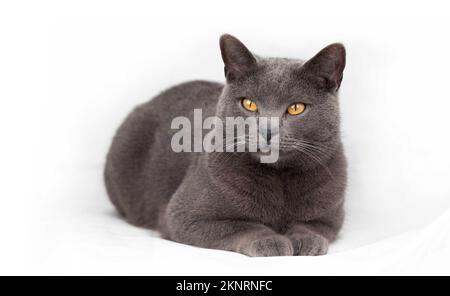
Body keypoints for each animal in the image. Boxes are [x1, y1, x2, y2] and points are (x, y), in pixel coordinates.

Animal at [104, 34, 348, 256]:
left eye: (296, 108)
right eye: (249, 104)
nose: (267, 131)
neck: (279, 179)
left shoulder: (330, 217)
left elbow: (311, 226)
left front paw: (307, 240)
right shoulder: (185, 216)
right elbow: (243, 226)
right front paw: (271, 241)